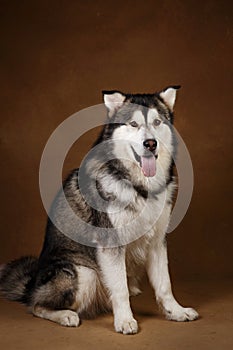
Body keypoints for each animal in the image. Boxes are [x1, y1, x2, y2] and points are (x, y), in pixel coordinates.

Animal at [0, 87, 198, 334]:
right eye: (133, 124)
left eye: (157, 122)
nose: (150, 144)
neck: (138, 185)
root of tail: (31, 284)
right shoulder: (110, 243)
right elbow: (120, 289)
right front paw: (124, 320)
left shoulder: (157, 241)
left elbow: (164, 285)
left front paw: (176, 311)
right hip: (84, 273)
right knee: (36, 306)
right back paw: (65, 315)